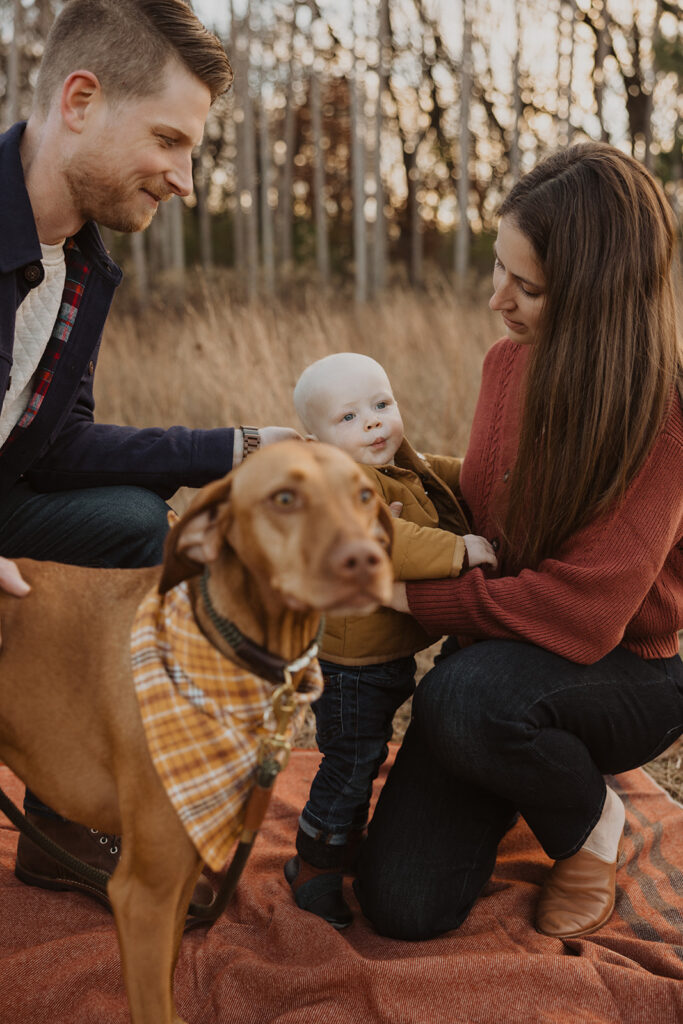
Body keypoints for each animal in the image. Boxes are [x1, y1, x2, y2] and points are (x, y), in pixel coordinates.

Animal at [0, 442, 393, 1024]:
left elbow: (168, 976)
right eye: (284, 498)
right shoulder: (143, 895)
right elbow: (151, 1002)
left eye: (365, 495)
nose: (366, 560)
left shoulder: (183, 874)